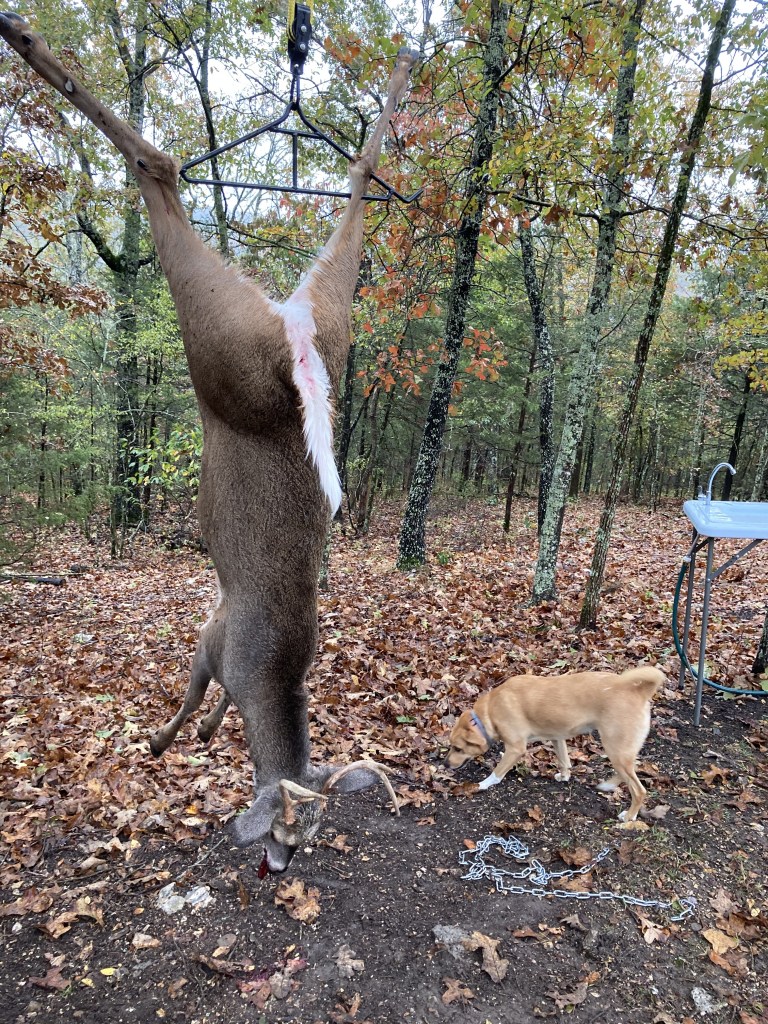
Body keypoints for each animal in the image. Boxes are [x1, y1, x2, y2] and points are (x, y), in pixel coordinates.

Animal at [0, 11, 413, 874]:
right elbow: (191, 698)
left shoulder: (216, 637)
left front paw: (203, 736)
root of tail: (294, 349)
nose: (275, 864)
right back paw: (28, 43)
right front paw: (163, 742)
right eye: (287, 828)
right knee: (161, 166)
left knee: (354, 172)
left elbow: (209, 705)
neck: (270, 676)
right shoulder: (211, 637)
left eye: (310, 834)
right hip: (228, 342)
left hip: (319, 321)